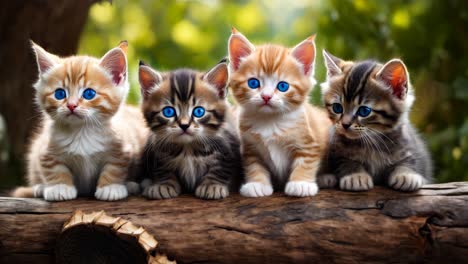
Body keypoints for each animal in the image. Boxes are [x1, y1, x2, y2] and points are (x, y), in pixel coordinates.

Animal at [11, 40, 148, 200]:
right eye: (59, 93)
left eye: (89, 93)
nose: (71, 105)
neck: (82, 131)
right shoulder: (45, 150)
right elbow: (53, 168)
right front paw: (60, 187)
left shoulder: (122, 149)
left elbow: (115, 167)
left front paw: (110, 187)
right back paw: (40, 187)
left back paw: (131, 185)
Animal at [137, 59, 243, 199]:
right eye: (168, 112)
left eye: (199, 111)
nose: (184, 125)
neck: (188, 147)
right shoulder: (158, 150)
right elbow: (162, 168)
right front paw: (164, 185)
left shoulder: (227, 146)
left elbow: (221, 167)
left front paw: (212, 185)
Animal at [228, 29, 330, 198]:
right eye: (253, 83)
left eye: (283, 86)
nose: (266, 96)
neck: (270, 121)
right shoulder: (250, 147)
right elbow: (254, 165)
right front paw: (257, 184)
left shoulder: (309, 143)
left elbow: (305, 162)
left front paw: (301, 183)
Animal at [316, 51, 434, 192]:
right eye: (337, 108)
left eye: (364, 111)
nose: (345, 124)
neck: (372, 143)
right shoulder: (336, 150)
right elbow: (345, 161)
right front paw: (355, 175)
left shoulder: (411, 147)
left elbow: (410, 160)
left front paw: (406, 174)